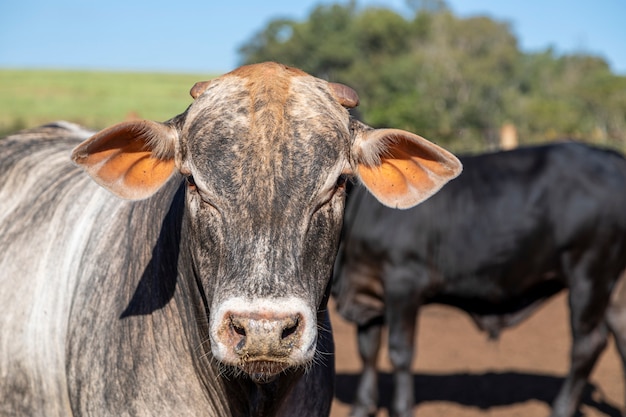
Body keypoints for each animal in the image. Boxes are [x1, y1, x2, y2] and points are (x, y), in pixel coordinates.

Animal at [334, 142, 624, 416]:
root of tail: (609, 156)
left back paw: (561, 409)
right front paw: (361, 408)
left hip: (589, 275)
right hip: (610, 287)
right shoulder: (366, 291)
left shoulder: (403, 282)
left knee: (587, 344)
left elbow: (400, 351)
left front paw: (403, 409)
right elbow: (367, 351)